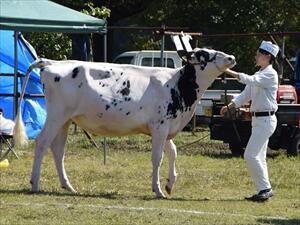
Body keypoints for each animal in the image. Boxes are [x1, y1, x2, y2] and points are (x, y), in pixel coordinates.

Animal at [14, 47, 236, 197]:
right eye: (206, 55)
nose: (231, 57)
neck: (177, 86)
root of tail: (52, 63)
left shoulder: (164, 127)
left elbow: (173, 152)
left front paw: (170, 183)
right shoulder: (160, 125)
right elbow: (158, 158)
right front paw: (157, 190)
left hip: (66, 119)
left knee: (58, 149)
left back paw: (68, 186)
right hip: (57, 114)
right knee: (42, 143)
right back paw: (35, 184)